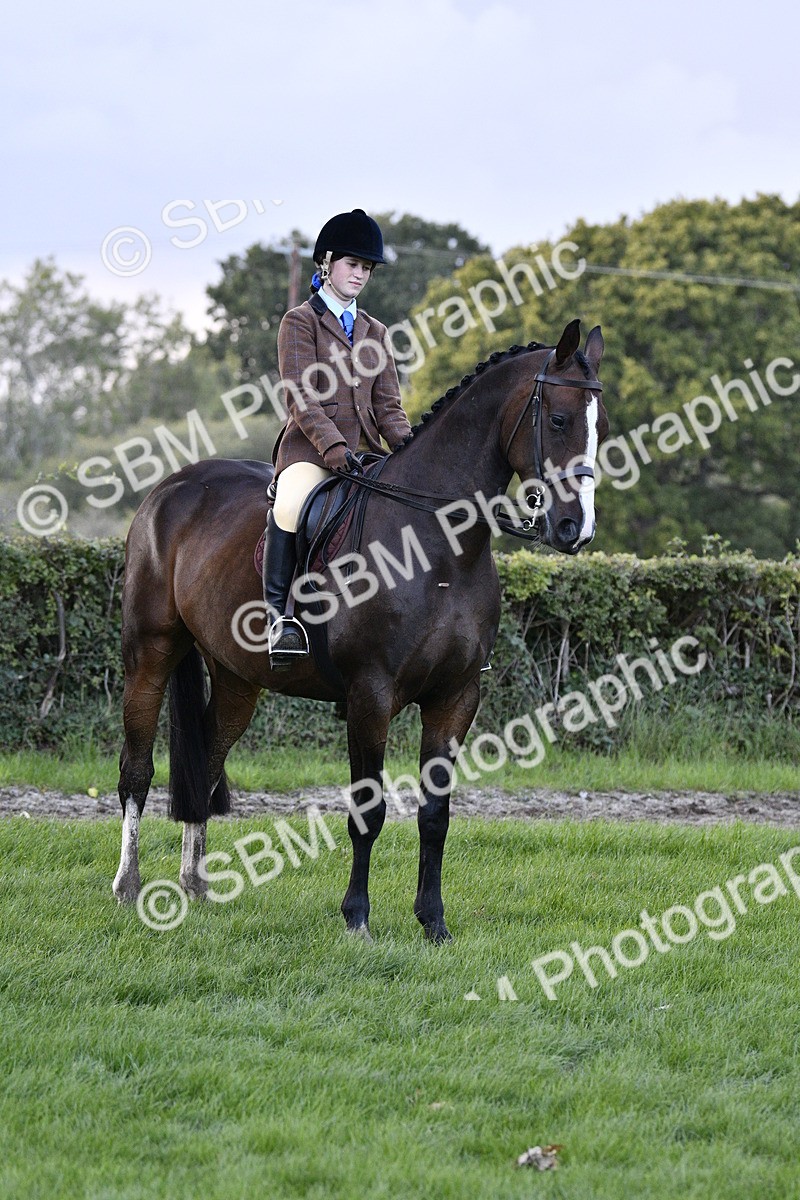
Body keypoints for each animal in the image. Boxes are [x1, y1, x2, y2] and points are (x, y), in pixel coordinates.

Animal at [113, 318, 608, 941]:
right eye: (560, 420)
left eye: (600, 426)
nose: (575, 529)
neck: (437, 544)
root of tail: (169, 489)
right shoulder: (370, 695)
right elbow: (368, 810)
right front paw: (357, 918)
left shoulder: (456, 696)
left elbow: (435, 814)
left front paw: (433, 922)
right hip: (151, 652)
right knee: (136, 770)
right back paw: (128, 886)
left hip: (236, 677)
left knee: (206, 760)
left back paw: (195, 885)